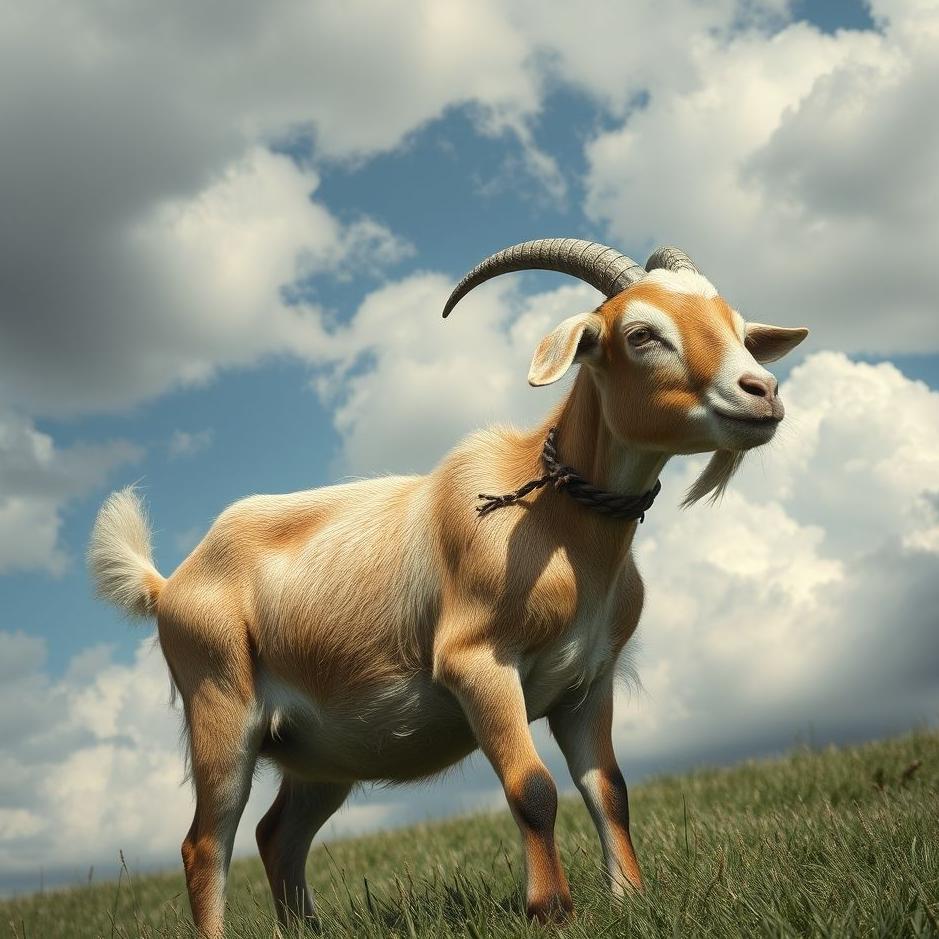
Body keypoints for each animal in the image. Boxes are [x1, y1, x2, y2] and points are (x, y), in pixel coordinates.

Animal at [88, 240, 807, 935]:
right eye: (640, 334)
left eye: (738, 326)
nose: (761, 391)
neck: (549, 518)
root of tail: (167, 584)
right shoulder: (478, 664)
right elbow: (533, 788)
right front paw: (551, 909)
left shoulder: (587, 682)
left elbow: (609, 788)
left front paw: (629, 897)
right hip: (221, 709)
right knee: (205, 844)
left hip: (319, 752)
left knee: (276, 835)